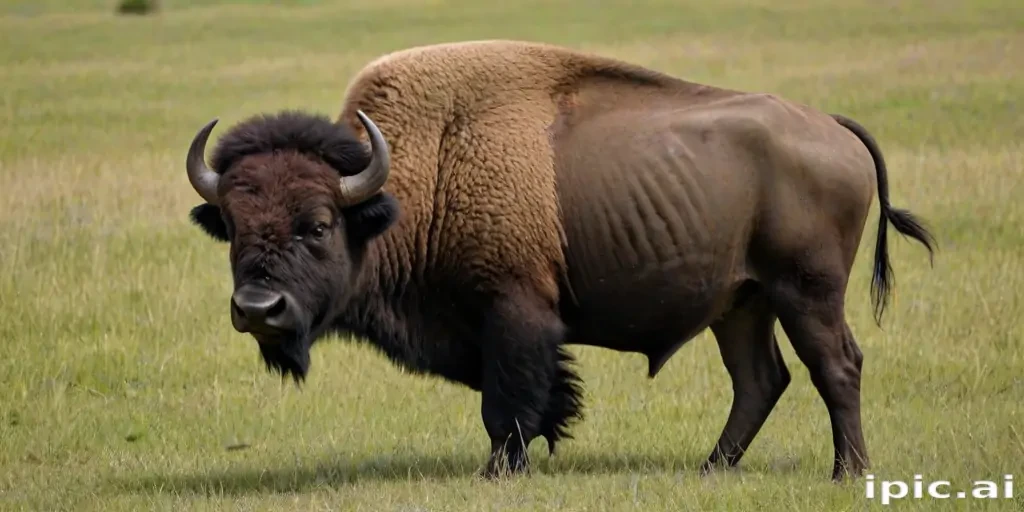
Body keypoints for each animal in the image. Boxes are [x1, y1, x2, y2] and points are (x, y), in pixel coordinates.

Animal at [182, 40, 934, 481]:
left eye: (317, 225)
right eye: (233, 229)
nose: (258, 309)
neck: (421, 175)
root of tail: (833, 127)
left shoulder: (515, 310)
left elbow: (508, 400)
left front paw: (500, 470)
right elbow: (527, 394)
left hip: (805, 291)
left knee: (835, 366)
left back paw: (848, 473)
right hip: (741, 303)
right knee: (760, 379)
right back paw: (711, 468)